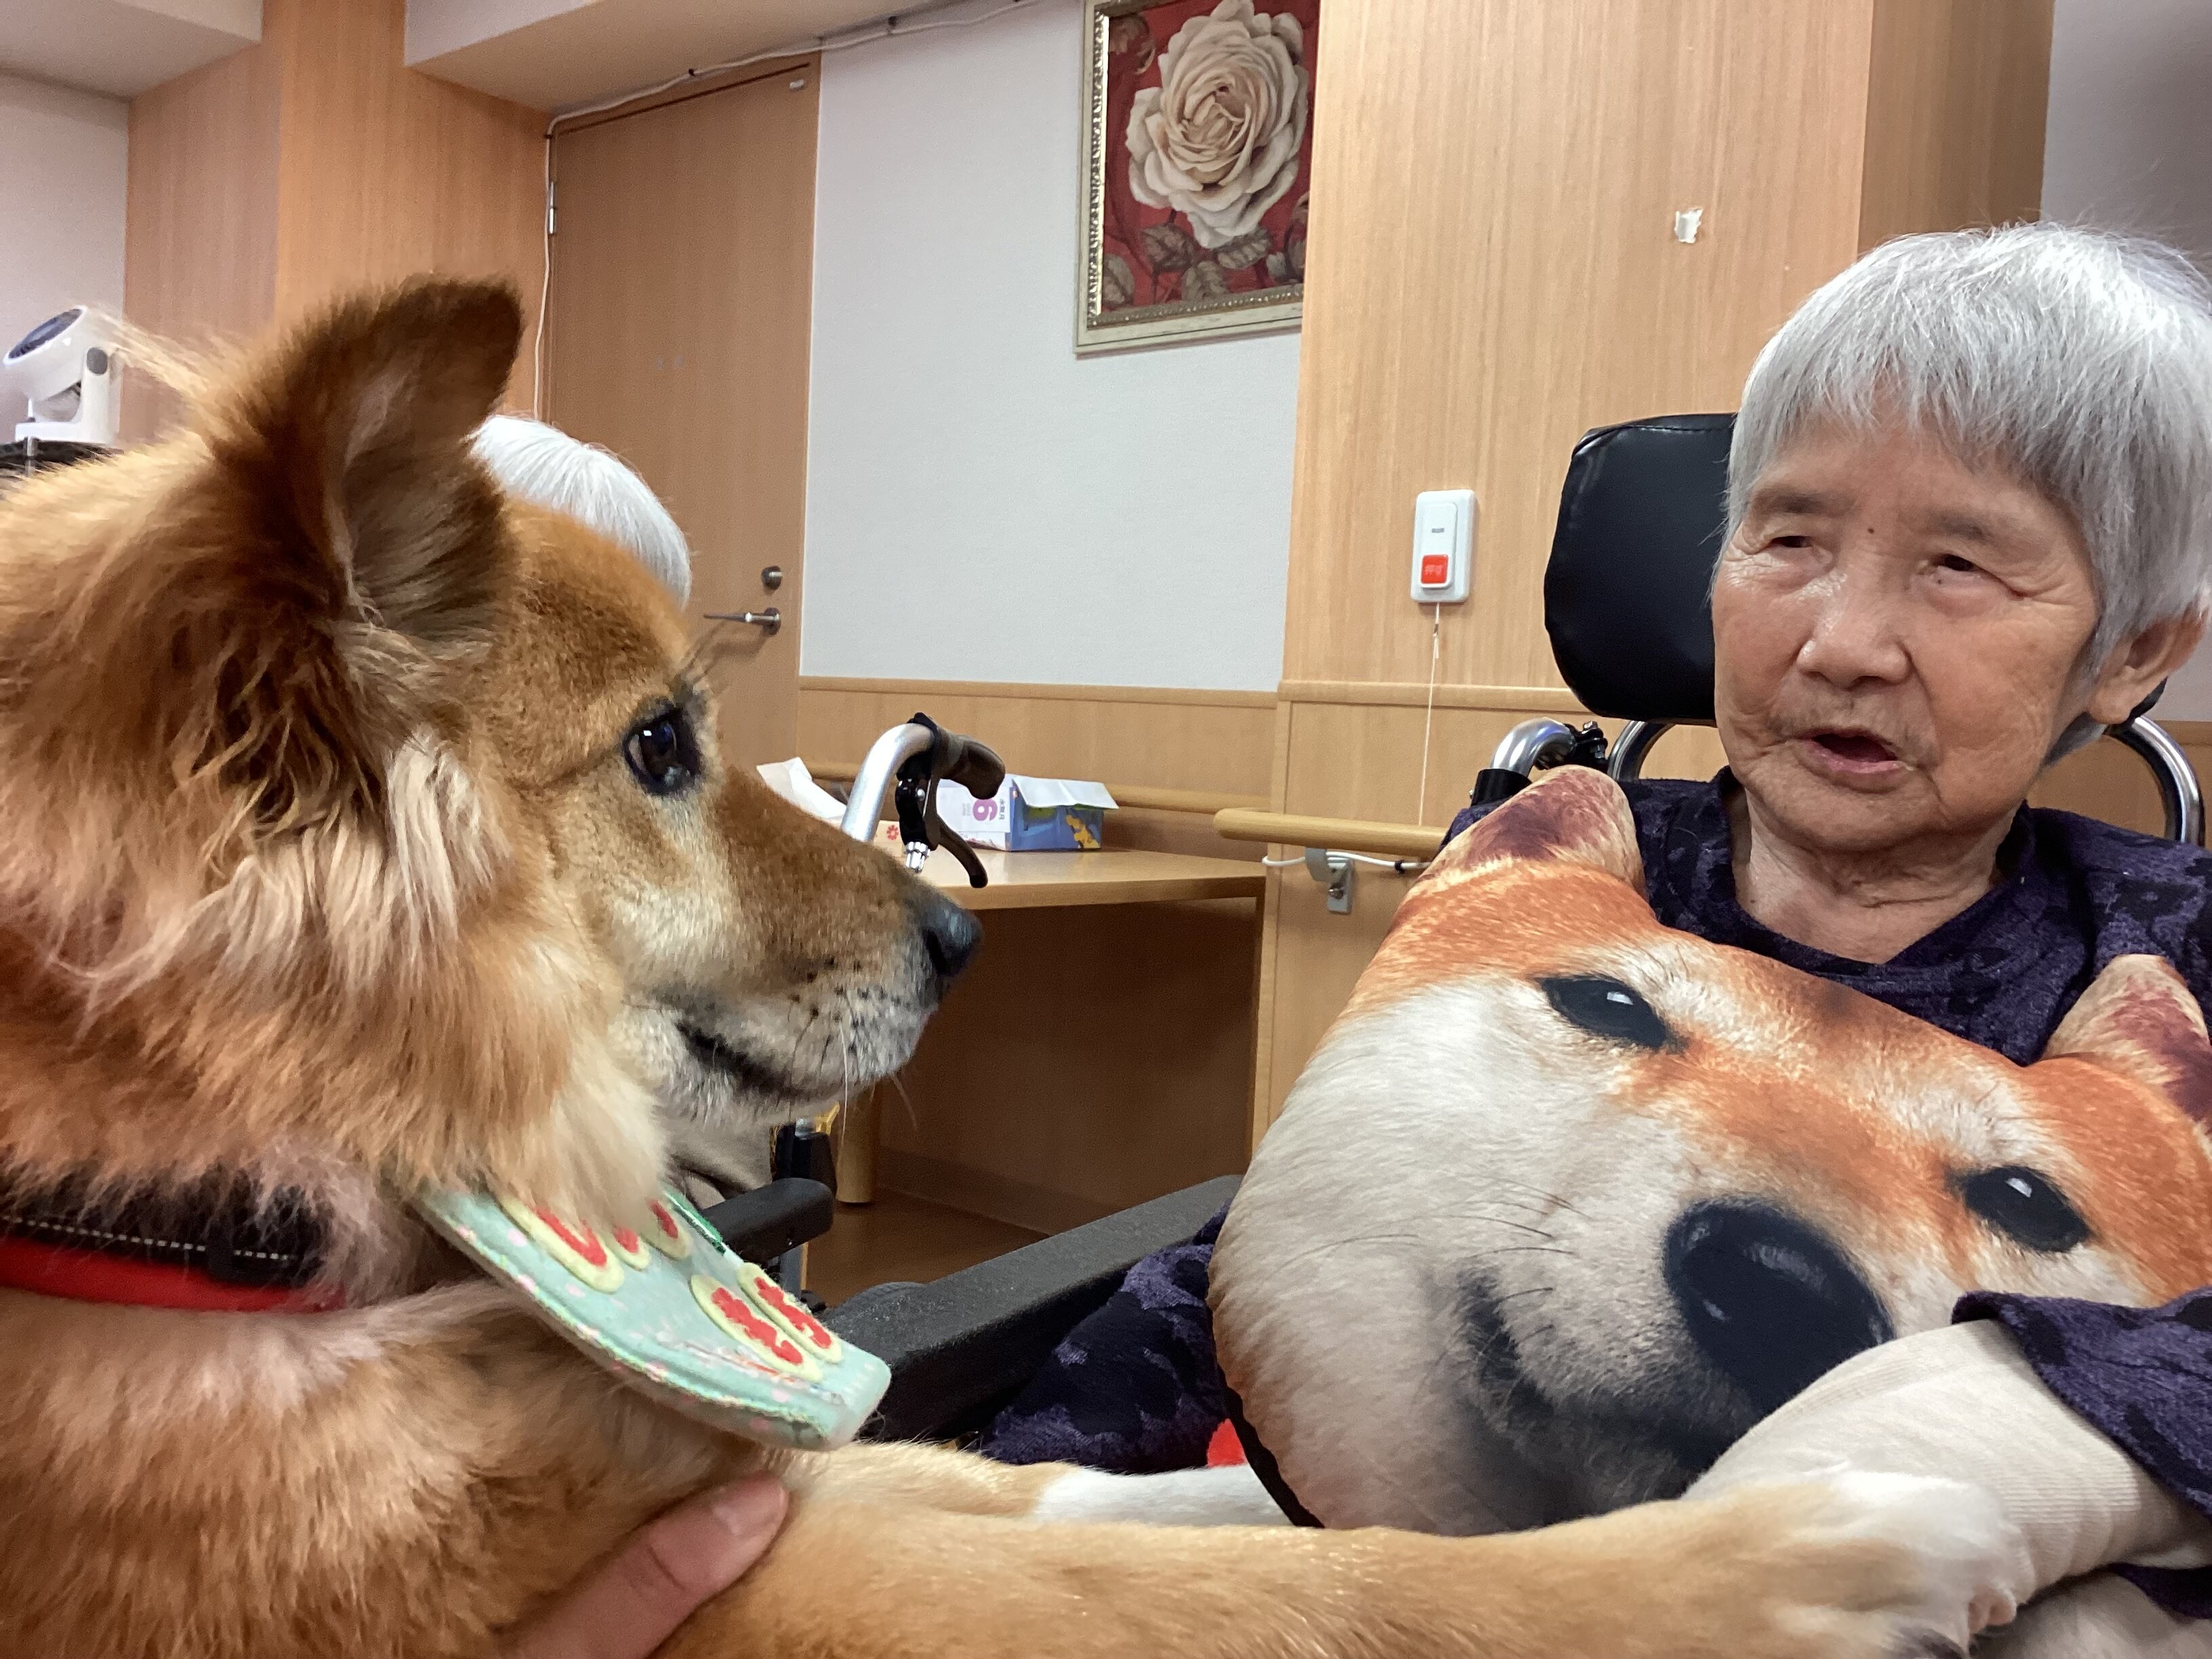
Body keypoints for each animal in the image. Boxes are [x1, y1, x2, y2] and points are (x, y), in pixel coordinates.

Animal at [0, 279, 2009, 1658]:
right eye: (656, 744)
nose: (962, 928)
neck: (229, 1219)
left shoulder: (770, 1465)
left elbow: (1050, 1486)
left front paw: (1244, 1474)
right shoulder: (762, 1580)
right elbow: (1312, 1598)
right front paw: (1779, 1559)